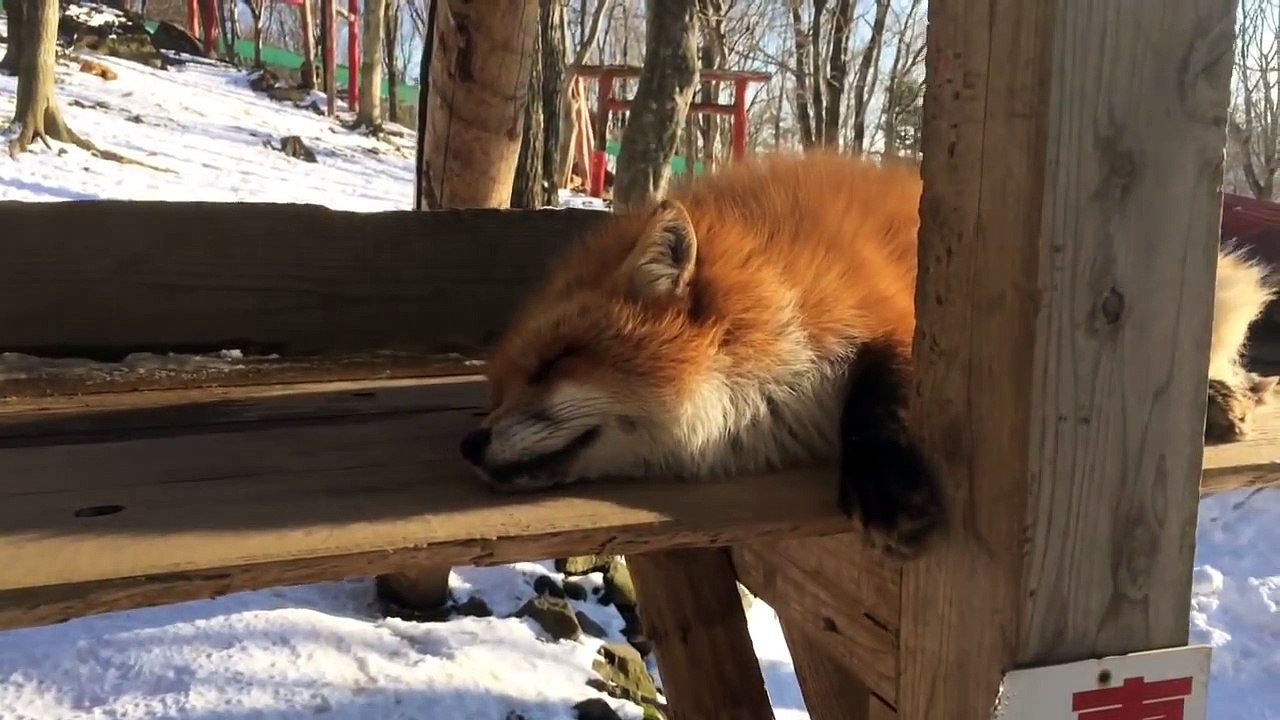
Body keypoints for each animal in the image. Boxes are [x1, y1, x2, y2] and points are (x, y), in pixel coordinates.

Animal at [459, 151, 1277, 559]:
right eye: (492, 391)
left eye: (557, 362)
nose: (470, 443)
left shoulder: (907, 316)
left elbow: (878, 387)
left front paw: (881, 484)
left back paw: (1219, 400)